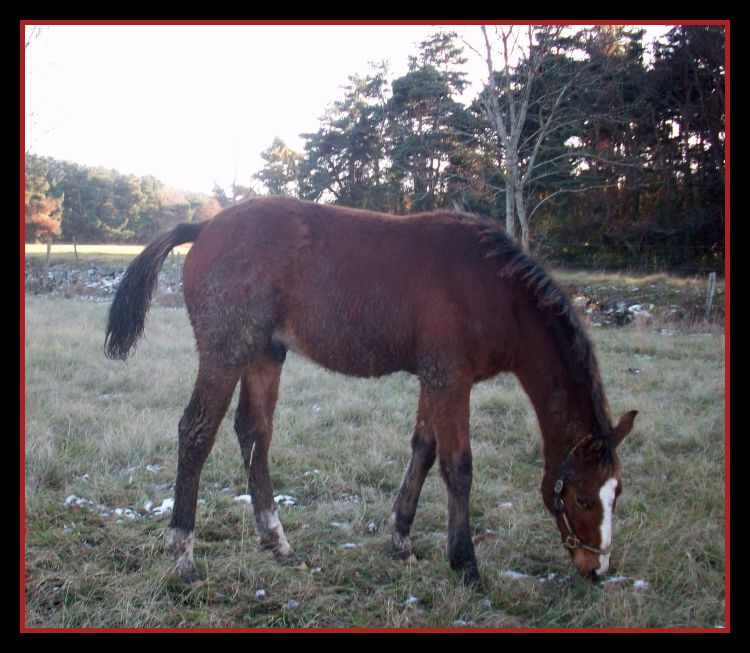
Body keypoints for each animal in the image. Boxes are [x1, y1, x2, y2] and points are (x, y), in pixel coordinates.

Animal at [104, 195, 636, 584]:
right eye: (582, 499)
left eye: (617, 494)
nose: (597, 569)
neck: (493, 290)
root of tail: (205, 226)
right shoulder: (450, 379)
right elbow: (458, 467)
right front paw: (465, 565)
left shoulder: (433, 379)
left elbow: (423, 449)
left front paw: (401, 539)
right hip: (225, 351)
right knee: (196, 432)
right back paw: (183, 555)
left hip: (264, 353)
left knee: (253, 432)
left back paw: (277, 541)